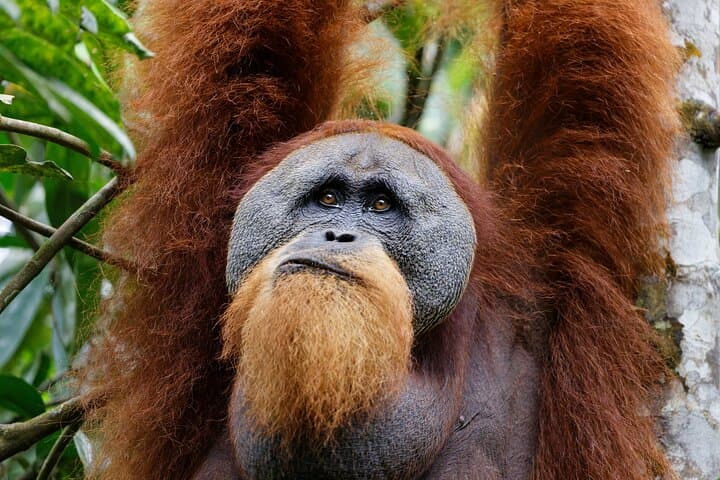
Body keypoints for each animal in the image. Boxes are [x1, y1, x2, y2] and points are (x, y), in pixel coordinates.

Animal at [77, 0, 679, 479]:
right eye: (326, 198)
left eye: (381, 205)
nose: (337, 233)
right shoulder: (219, 189)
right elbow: (255, 51)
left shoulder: (544, 269)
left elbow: (576, 63)